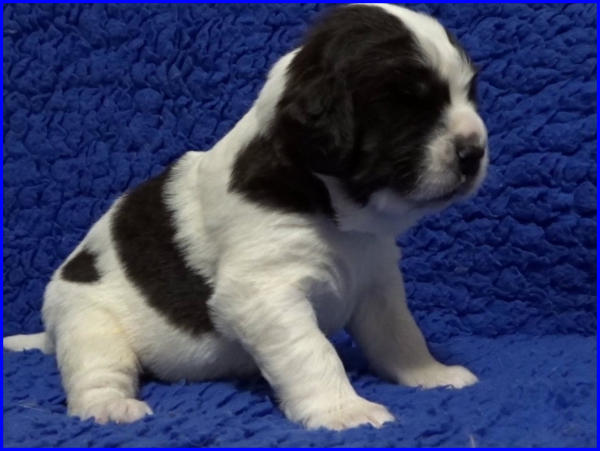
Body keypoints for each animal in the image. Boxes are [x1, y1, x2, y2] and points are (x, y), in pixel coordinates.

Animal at [4, 4, 488, 430]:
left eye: (468, 94)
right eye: (407, 104)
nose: (474, 152)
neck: (332, 206)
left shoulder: (378, 285)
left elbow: (400, 334)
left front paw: (430, 373)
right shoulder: (265, 294)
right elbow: (313, 352)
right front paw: (343, 410)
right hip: (91, 322)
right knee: (96, 372)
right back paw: (110, 407)